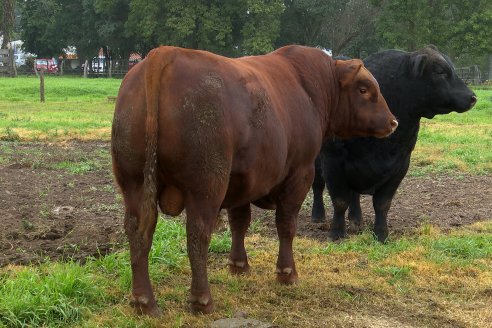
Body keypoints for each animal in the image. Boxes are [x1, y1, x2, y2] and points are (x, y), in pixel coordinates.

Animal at [110, 44, 396, 316]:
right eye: (364, 89)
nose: (393, 122)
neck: (309, 90)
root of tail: (164, 54)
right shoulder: (300, 174)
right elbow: (286, 225)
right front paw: (287, 272)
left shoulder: (242, 180)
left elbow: (240, 222)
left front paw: (238, 265)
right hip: (207, 186)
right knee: (197, 235)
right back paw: (202, 300)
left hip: (135, 184)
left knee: (138, 232)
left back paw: (144, 301)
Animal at [312, 45, 476, 241]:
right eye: (440, 71)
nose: (472, 97)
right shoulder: (333, 162)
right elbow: (340, 201)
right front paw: (336, 233)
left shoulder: (400, 166)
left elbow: (382, 204)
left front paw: (381, 234)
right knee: (318, 186)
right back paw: (318, 216)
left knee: (355, 195)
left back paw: (356, 218)